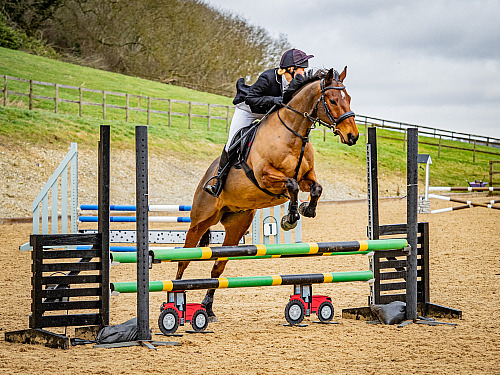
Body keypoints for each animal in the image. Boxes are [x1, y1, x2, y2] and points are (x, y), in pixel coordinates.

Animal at [178, 67, 358, 320]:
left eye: (348, 98)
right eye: (332, 100)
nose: (353, 136)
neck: (293, 132)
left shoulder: (306, 176)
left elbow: (315, 187)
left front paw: (305, 209)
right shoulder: (265, 176)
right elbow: (291, 185)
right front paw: (290, 218)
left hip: (237, 226)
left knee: (218, 266)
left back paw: (208, 308)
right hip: (200, 221)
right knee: (183, 260)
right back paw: (174, 299)